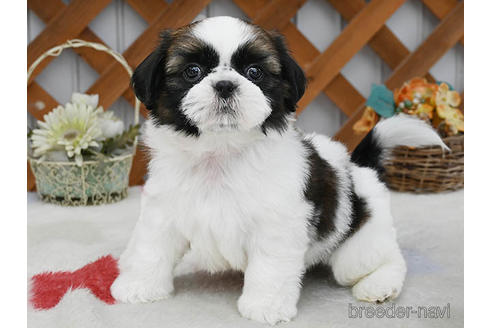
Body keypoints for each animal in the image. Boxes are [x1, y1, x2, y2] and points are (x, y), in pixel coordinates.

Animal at [110, 16, 446, 324]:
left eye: (254, 72)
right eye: (192, 71)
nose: (225, 85)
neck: (221, 152)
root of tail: (359, 167)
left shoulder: (277, 224)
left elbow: (269, 267)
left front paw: (264, 306)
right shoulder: (163, 210)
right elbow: (151, 247)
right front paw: (139, 286)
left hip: (358, 245)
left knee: (385, 259)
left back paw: (379, 285)